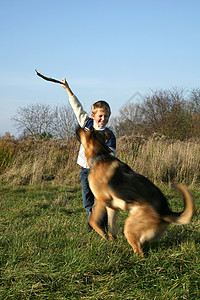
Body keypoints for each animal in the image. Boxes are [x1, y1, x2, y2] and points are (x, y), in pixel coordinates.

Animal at [76, 126, 195, 255]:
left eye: (85, 129)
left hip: (129, 226)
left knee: (140, 252)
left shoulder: (101, 199)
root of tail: (165, 212)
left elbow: (92, 220)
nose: (77, 127)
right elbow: (112, 228)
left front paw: (103, 234)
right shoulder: (112, 208)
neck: (99, 155)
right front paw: (112, 240)